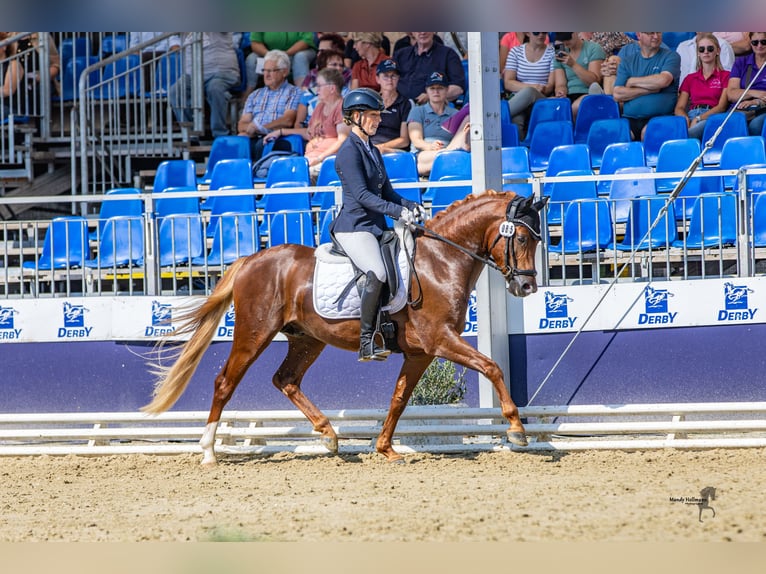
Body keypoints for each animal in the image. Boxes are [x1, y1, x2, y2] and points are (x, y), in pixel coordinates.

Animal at [144, 191, 548, 466]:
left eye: (538, 239)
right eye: (521, 238)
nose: (526, 286)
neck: (439, 262)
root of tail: (251, 259)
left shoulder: (421, 352)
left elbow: (399, 398)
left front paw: (386, 448)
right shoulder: (441, 339)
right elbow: (491, 366)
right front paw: (517, 429)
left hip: (307, 340)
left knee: (286, 379)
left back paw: (328, 435)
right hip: (253, 333)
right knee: (225, 382)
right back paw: (208, 451)